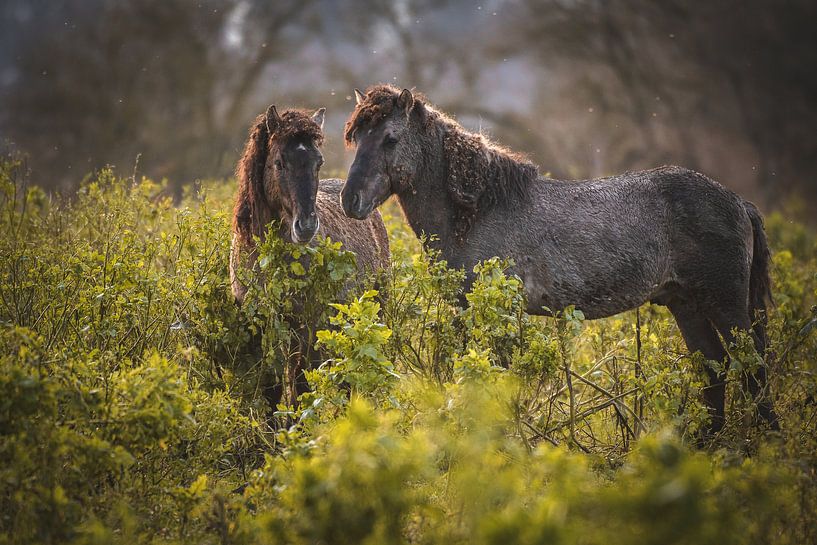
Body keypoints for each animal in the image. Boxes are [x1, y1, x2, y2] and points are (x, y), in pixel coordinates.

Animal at [230, 105, 390, 408]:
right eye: (279, 162)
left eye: (318, 162)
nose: (305, 225)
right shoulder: (259, 323)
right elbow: (271, 384)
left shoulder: (306, 326)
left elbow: (301, 382)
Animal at [339, 84, 778, 437]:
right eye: (356, 137)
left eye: (390, 138)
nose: (350, 200)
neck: (478, 210)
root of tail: (738, 202)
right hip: (684, 303)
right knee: (714, 367)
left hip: (724, 303)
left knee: (753, 367)